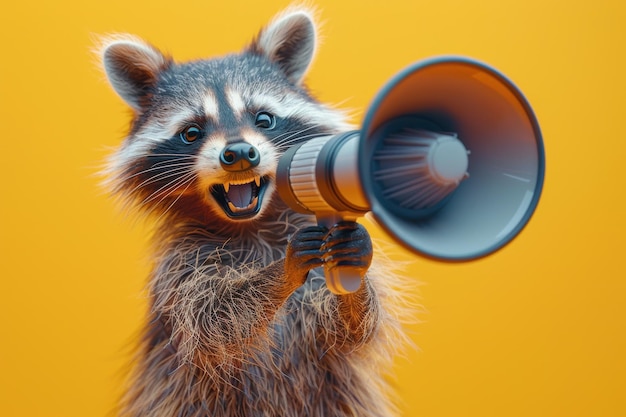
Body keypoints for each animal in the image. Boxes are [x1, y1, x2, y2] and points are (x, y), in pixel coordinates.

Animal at [100, 6, 408, 416]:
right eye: (191, 132)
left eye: (264, 119)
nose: (240, 153)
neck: (254, 226)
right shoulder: (181, 269)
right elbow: (213, 322)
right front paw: (281, 271)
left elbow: (348, 330)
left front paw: (352, 273)